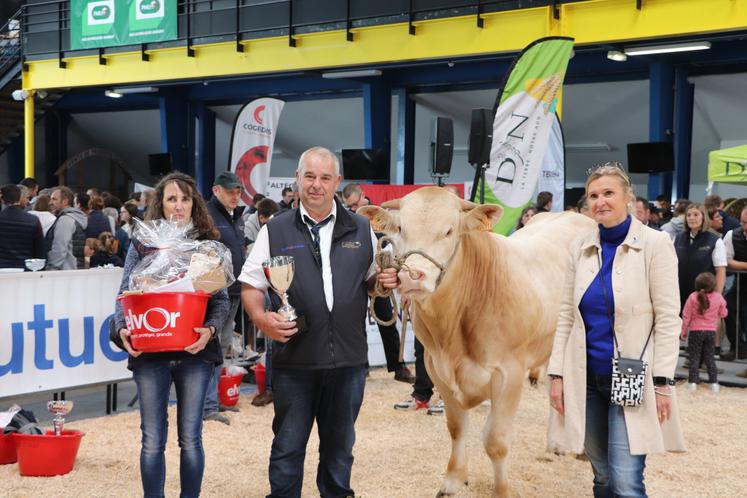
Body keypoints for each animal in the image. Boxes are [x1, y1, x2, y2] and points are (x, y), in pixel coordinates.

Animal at [360, 188, 592, 498]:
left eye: (449, 231)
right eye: (400, 229)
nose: (412, 276)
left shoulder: (509, 373)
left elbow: (496, 441)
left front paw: (502, 491)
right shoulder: (437, 369)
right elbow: (456, 428)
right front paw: (453, 480)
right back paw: (556, 444)